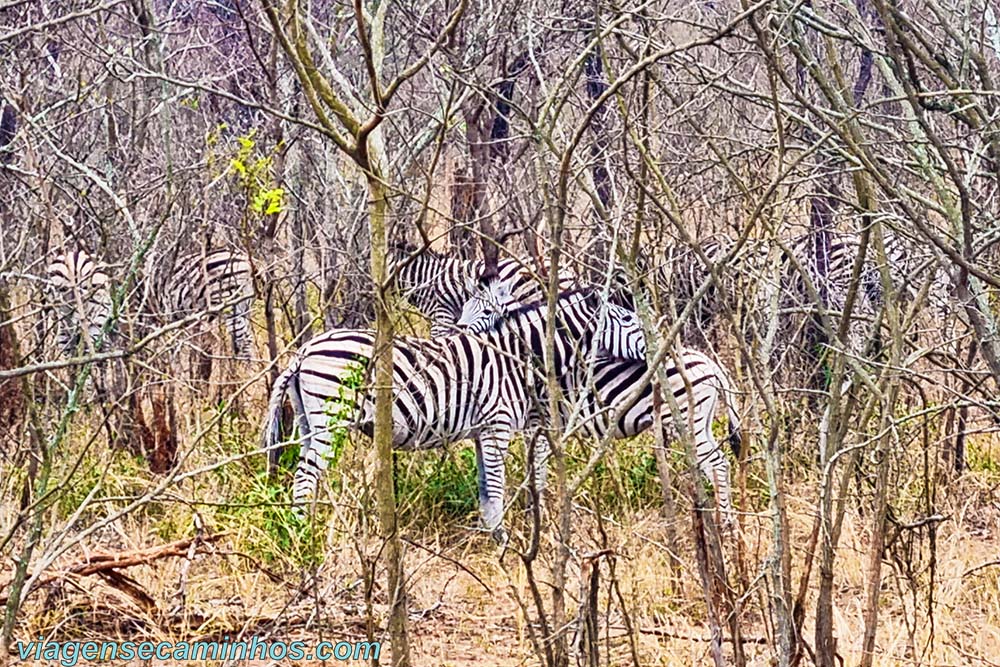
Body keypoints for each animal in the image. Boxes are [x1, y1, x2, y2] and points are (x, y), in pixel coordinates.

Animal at [262, 290, 644, 540]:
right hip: (331, 420)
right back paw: (300, 534)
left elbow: (484, 488)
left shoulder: (482, 431)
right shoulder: (497, 426)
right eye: (628, 319)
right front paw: (501, 541)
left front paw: (490, 533)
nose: (652, 352)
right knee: (305, 476)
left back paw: (306, 526)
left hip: (308, 422)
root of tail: (304, 351)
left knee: (305, 474)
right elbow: (496, 487)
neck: (514, 358)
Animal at [458, 276, 744, 528]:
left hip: (687, 419)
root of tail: (710, 363)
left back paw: (725, 525)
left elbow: (536, 474)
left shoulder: (539, 421)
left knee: (716, 463)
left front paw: (536, 516)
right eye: (464, 308)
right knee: (720, 463)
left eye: (486, 311)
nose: (459, 331)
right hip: (702, 422)